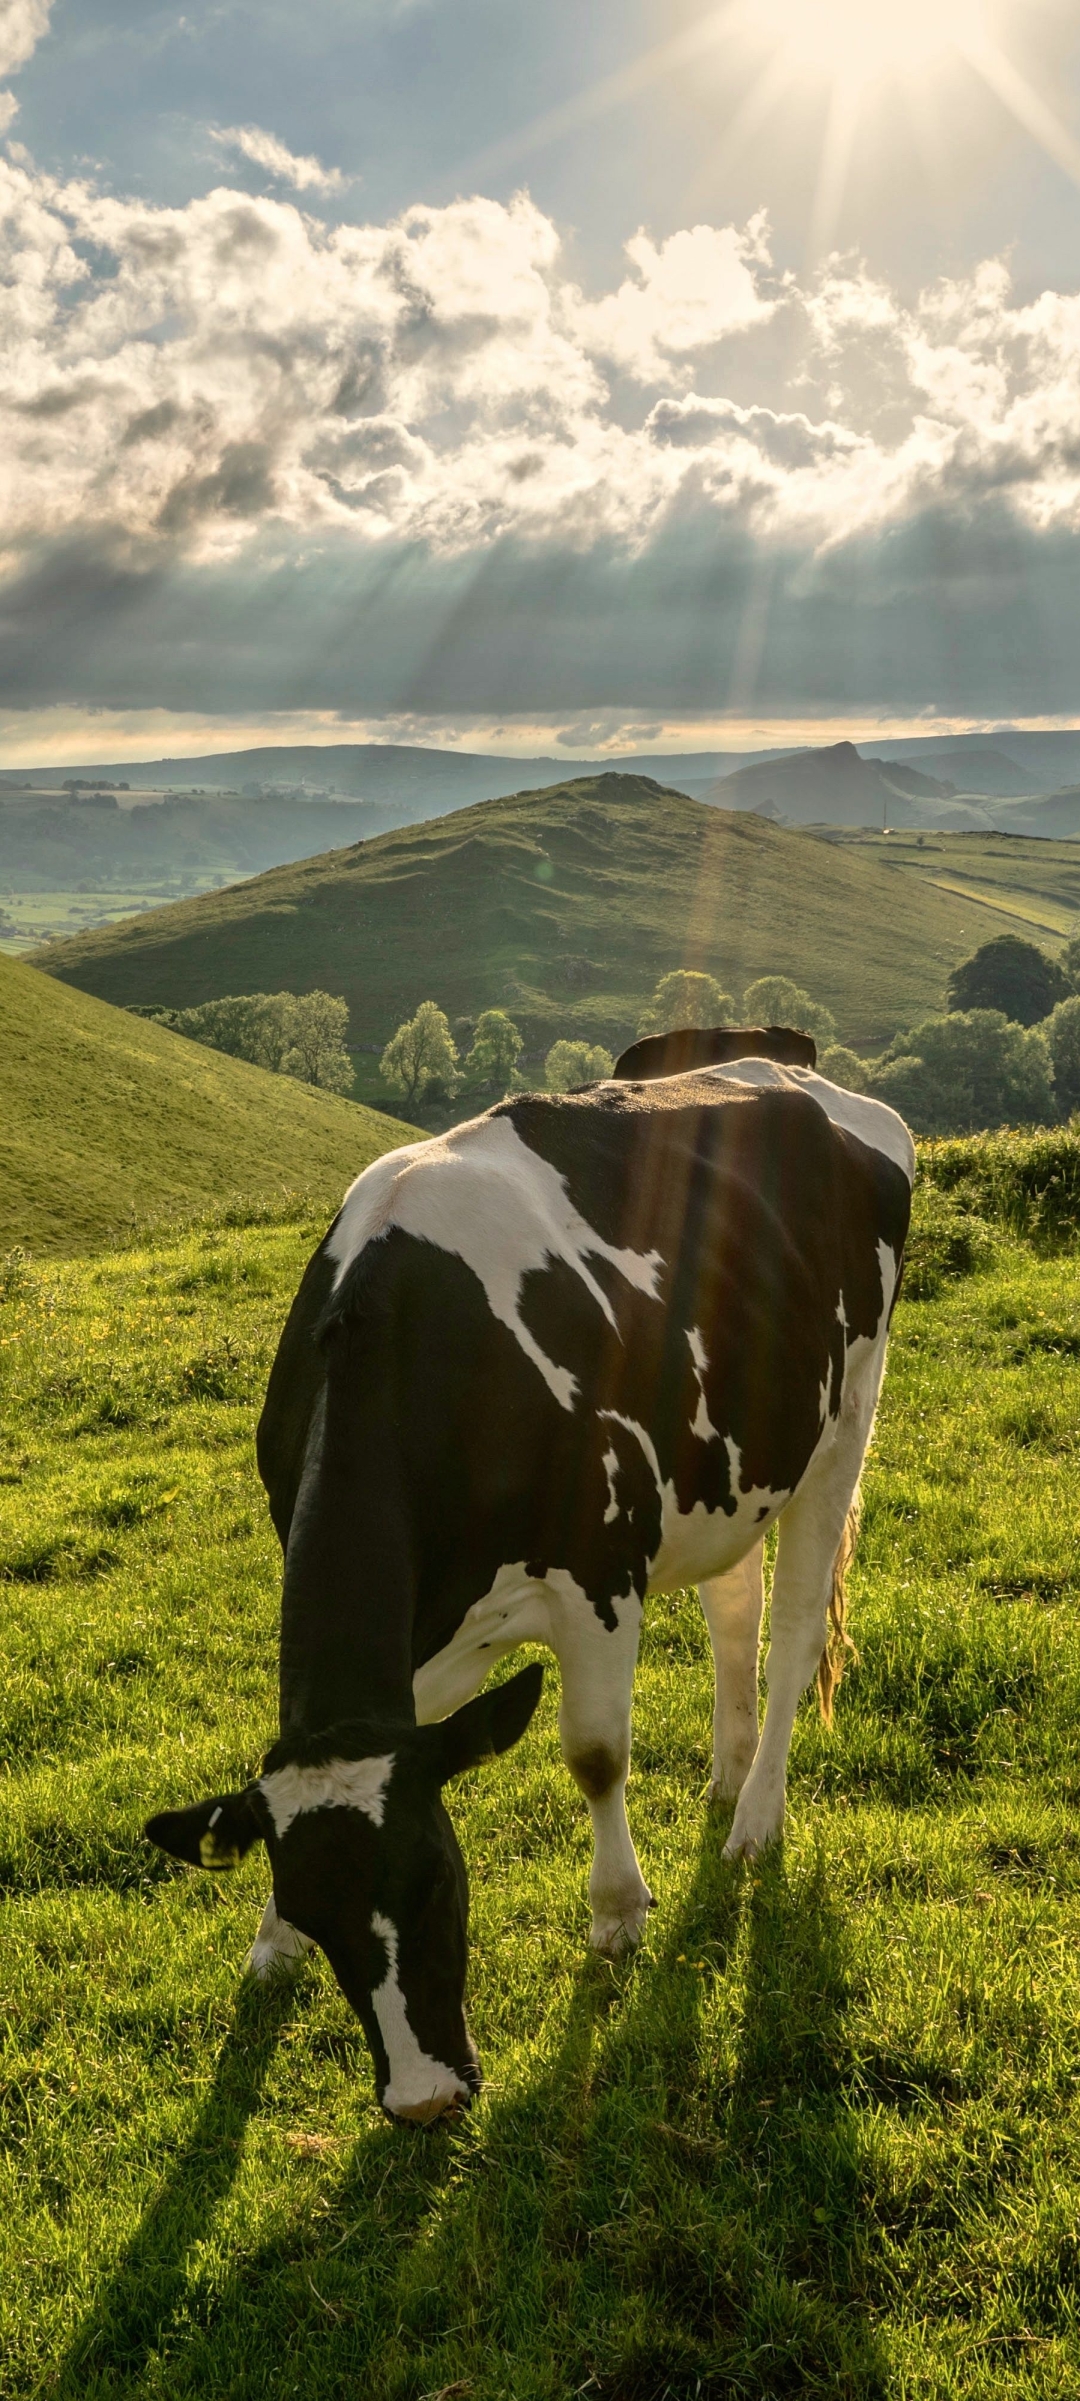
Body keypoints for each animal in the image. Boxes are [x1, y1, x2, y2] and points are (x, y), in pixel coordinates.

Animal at [146, 1060, 914, 2125]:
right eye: (316, 1912)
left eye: (439, 1880)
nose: (423, 2099)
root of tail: (796, 1072)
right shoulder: (421, 1643)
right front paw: (270, 1942)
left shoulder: (601, 1572)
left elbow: (595, 1754)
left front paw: (619, 1913)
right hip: (730, 1464)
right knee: (735, 1614)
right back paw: (726, 1774)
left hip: (845, 1418)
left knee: (796, 1632)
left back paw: (754, 1822)